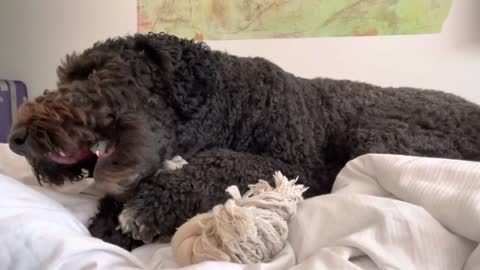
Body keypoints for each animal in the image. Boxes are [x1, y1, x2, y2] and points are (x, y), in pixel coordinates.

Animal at [8, 32, 480, 250]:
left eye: (89, 72)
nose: (15, 139)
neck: (230, 101)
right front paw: (110, 223)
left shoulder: (296, 167)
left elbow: (225, 162)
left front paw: (151, 206)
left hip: (374, 134)